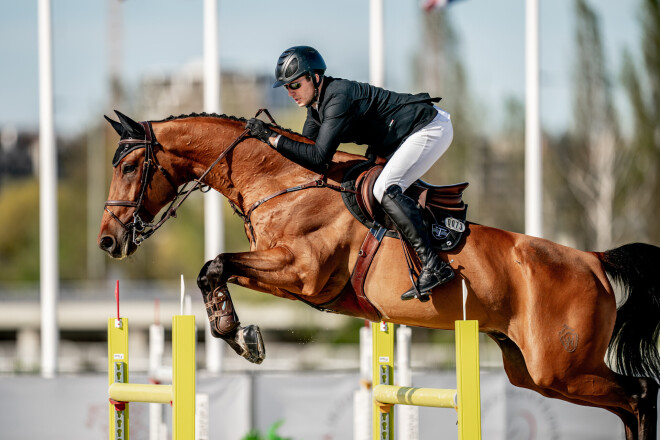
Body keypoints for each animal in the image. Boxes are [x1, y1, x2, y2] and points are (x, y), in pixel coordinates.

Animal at [99, 111, 660, 438]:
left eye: (128, 168)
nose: (108, 241)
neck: (280, 179)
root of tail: (593, 259)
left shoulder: (301, 273)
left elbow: (214, 264)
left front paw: (242, 337)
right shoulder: (281, 274)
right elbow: (214, 269)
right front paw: (236, 332)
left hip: (560, 367)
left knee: (638, 394)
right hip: (533, 371)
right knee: (627, 403)